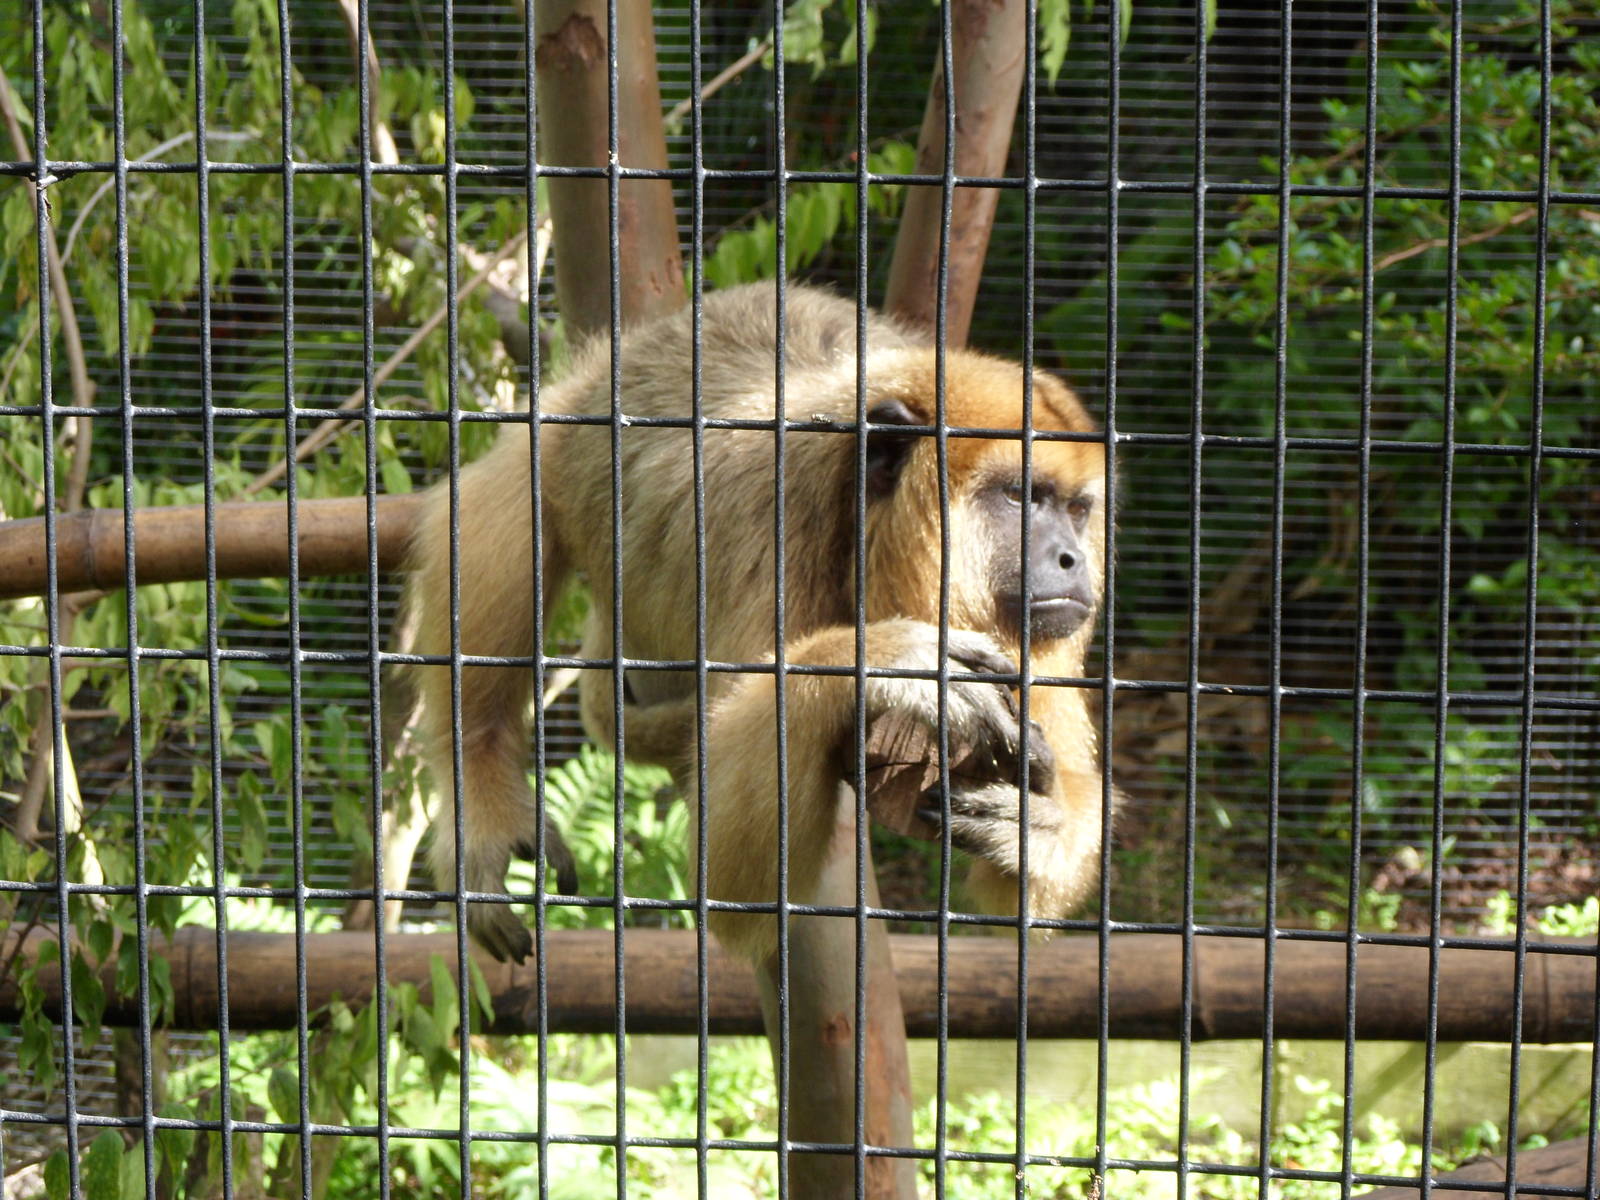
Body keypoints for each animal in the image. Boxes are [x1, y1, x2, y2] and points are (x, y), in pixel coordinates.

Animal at [407, 281, 1111, 964]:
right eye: (1020, 496)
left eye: (1077, 510)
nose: (1072, 559)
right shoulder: (764, 516)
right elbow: (733, 883)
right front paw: (884, 660)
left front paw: (1043, 828)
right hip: (560, 426)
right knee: (509, 492)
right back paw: (483, 785)